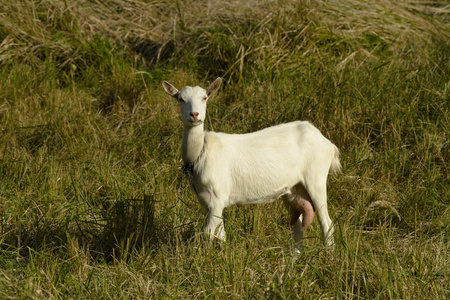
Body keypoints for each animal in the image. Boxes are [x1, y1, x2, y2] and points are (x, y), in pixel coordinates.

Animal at [163, 77, 342, 253]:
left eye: (204, 97)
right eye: (180, 99)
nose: (194, 115)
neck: (200, 153)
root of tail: (327, 143)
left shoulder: (216, 198)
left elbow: (208, 234)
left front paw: (204, 258)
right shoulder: (208, 201)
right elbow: (221, 235)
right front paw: (222, 255)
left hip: (316, 177)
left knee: (327, 223)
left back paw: (329, 255)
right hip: (293, 189)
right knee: (297, 226)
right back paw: (295, 258)